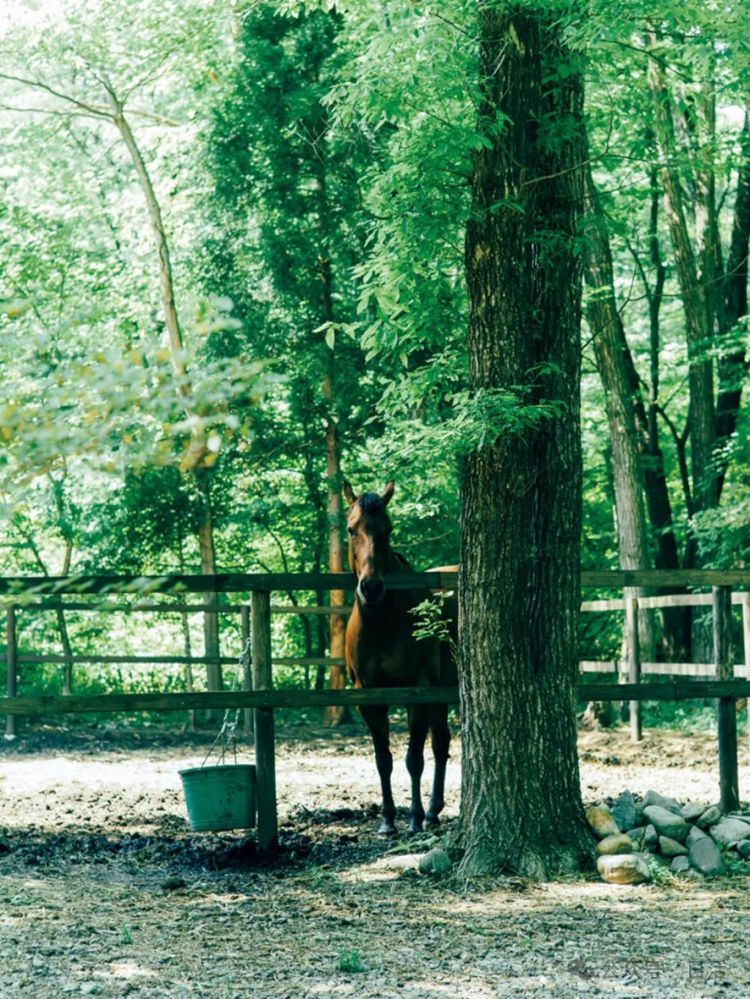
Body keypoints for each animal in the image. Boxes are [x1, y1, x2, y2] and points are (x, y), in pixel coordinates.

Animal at [342, 480, 458, 832]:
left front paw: (414, 818)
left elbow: (413, 759)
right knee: (442, 743)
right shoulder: (369, 697)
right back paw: (434, 810)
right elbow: (384, 760)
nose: (371, 588)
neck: (383, 624)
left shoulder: (416, 692)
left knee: (437, 746)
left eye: (388, 530)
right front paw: (387, 819)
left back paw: (428, 813)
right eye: (351, 529)